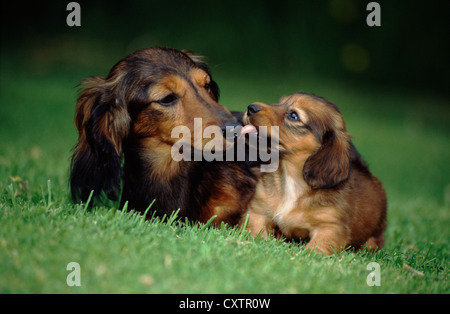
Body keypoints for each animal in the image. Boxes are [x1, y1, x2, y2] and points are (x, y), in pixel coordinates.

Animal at [239, 92, 386, 254]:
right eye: (278, 102)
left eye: (293, 115)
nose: (251, 108)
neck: (290, 179)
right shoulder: (257, 211)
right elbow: (256, 233)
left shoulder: (330, 227)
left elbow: (313, 250)